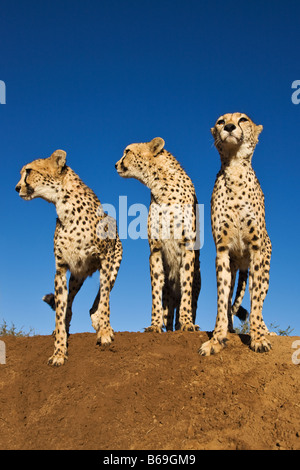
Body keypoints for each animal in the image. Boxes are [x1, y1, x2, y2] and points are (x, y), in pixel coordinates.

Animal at [14, 151, 122, 368]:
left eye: (28, 171)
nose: (17, 187)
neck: (63, 204)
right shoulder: (61, 269)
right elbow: (60, 310)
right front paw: (58, 352)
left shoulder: (106, 259)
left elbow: (105, 299)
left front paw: (105, 331)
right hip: (76, 277)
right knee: (70, 305)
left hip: (113, 266)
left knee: (99, 297)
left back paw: (98, 321)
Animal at [116, 138, 200, 332]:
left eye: (127, 151)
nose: (115, 164)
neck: (161, 185)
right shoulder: (155, 249)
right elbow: (156, 289)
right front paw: (154, 325)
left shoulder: (187, 247)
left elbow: (186, 285)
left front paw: (187, 323)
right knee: (168, 305)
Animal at [199, 113, 272, 356]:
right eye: (221, 121)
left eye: (243, 120)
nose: (230, 127)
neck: (235, 170)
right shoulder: (222, 252)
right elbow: (222, 300)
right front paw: (217, 338)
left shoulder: (256, 250)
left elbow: (256, 300)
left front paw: (258, 337)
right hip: (233, 266)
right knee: (230, 295)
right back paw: (230, 329)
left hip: (264, 268)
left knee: (260, 297)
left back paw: (266, 330)